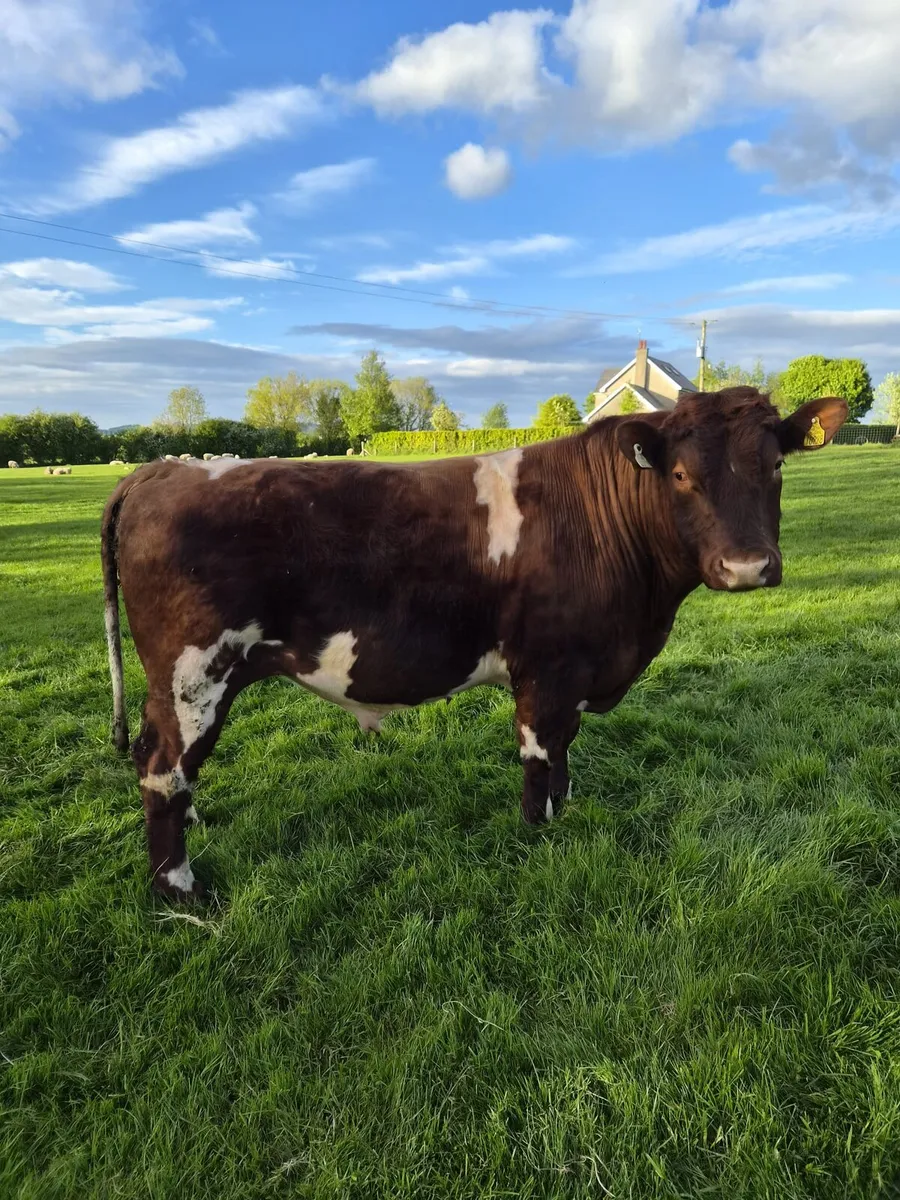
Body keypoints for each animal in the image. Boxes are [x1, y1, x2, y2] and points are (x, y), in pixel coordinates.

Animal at [101, 388, 847, 900]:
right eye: (683, 476)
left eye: (776, 466)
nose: (747, 567)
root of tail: (162, 469)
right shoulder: (548, 668)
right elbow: (541, 755)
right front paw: (540, 832)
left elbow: (565, 752)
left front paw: (567, 812)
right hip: (195, 672)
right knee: (162, 767)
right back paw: (182, 890)